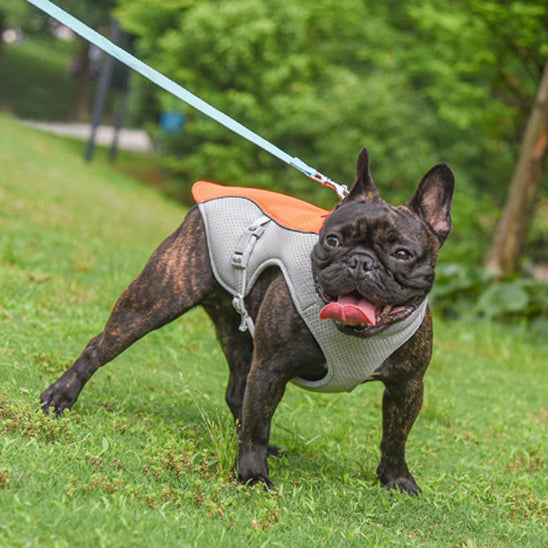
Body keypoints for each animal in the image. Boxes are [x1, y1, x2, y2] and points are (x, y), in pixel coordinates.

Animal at [41, 148, 454, 494]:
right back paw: (60, 396)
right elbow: (257, 425)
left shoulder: (407, 386)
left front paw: (396, 479)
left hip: (238, 335)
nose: (360, 262)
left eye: (402, 254)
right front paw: (253, 475)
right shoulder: (271, 368)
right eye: (333, 241)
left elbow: (395, 437)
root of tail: (214, 193)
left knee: (238, 391)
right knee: (100, 346)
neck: (355, 334)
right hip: (155, 300)